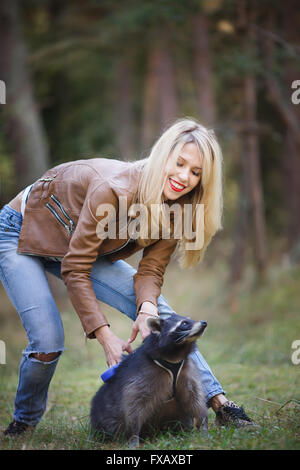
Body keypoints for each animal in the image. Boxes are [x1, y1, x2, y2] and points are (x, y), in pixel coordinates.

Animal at [90, 314, 207, 446]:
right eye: (184, 323)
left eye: (190, 319)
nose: (204, 323)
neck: (176, 355)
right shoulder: (141, 373)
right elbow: (133, 405)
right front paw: (133, 436)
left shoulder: (186, 369)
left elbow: (195, 398)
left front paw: (203, 425)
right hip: (103, 415)